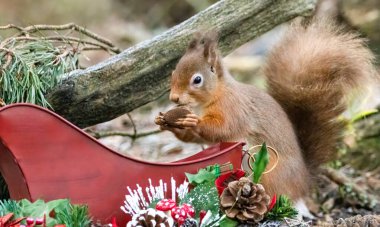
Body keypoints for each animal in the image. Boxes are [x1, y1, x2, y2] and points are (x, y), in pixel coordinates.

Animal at [154, 19, 374, 209]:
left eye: (197, 80)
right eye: (173, 72)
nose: (174, 98)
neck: (211, 98)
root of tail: (304, 181)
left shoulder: (234, 108)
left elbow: (223, 129)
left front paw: (193, 121)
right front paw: (165, 122)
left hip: (269, 172)